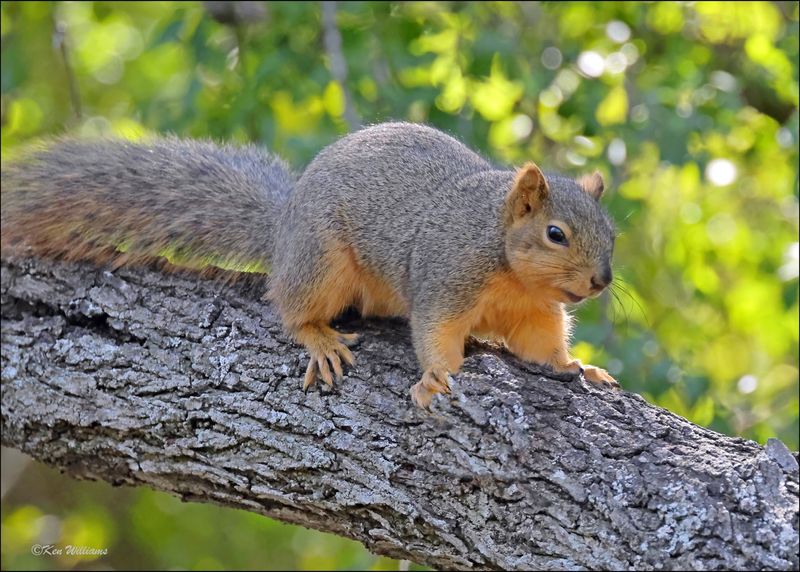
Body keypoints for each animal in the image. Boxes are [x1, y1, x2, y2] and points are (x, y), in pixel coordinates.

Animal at [1, 123, 620, 406]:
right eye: (556, 234)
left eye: (611, 234)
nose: (601, 281)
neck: (509, 267)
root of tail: (284, 232)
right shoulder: (448, 274)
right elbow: (436, 331)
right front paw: (435, 377)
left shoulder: (535, 311)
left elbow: (543, 346)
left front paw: (578, 366)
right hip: (322, 261)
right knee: (291, 308)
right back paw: (318, 337)